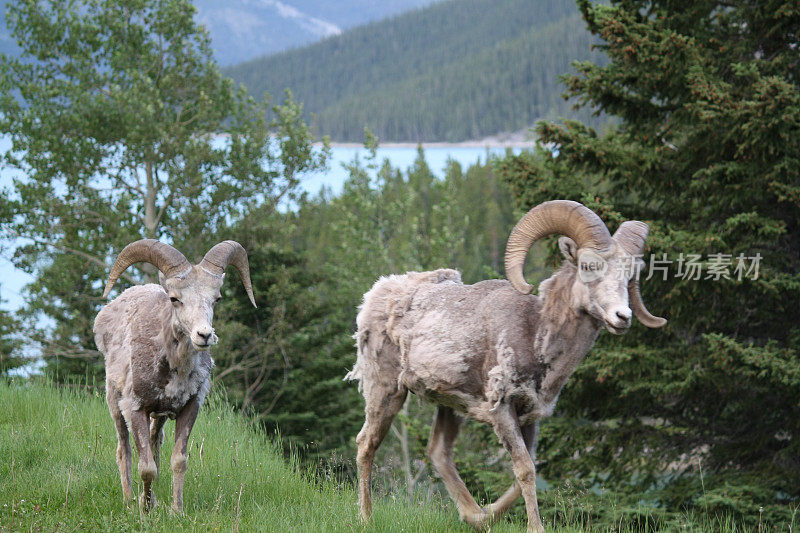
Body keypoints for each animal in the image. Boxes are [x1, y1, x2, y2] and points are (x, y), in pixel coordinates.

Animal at [93, 239, 256, 510]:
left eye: (217, 298)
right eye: (174, 298)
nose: (204, 335)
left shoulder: (190, 407)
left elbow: (178, 461)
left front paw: (175, 510)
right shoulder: (134, 407)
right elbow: (146, 467)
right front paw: (145, 509)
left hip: (158, 416)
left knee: (155, 443)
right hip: (115, 403)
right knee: (124, 450)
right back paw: (129, 500)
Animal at [346, 201, 664, 532]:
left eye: (630, 274)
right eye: (588, 266)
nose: (622, 317)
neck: (537, 336)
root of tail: (376, 295)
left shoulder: (530, 416)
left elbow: (526, 470)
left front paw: (487, 515)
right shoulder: (502, 411)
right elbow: (525, 470)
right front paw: (535, 528)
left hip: (450, 407)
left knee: (438, 452)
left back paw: (474, 515)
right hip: (386, 391)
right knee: (367, 444)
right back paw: (366, 518)